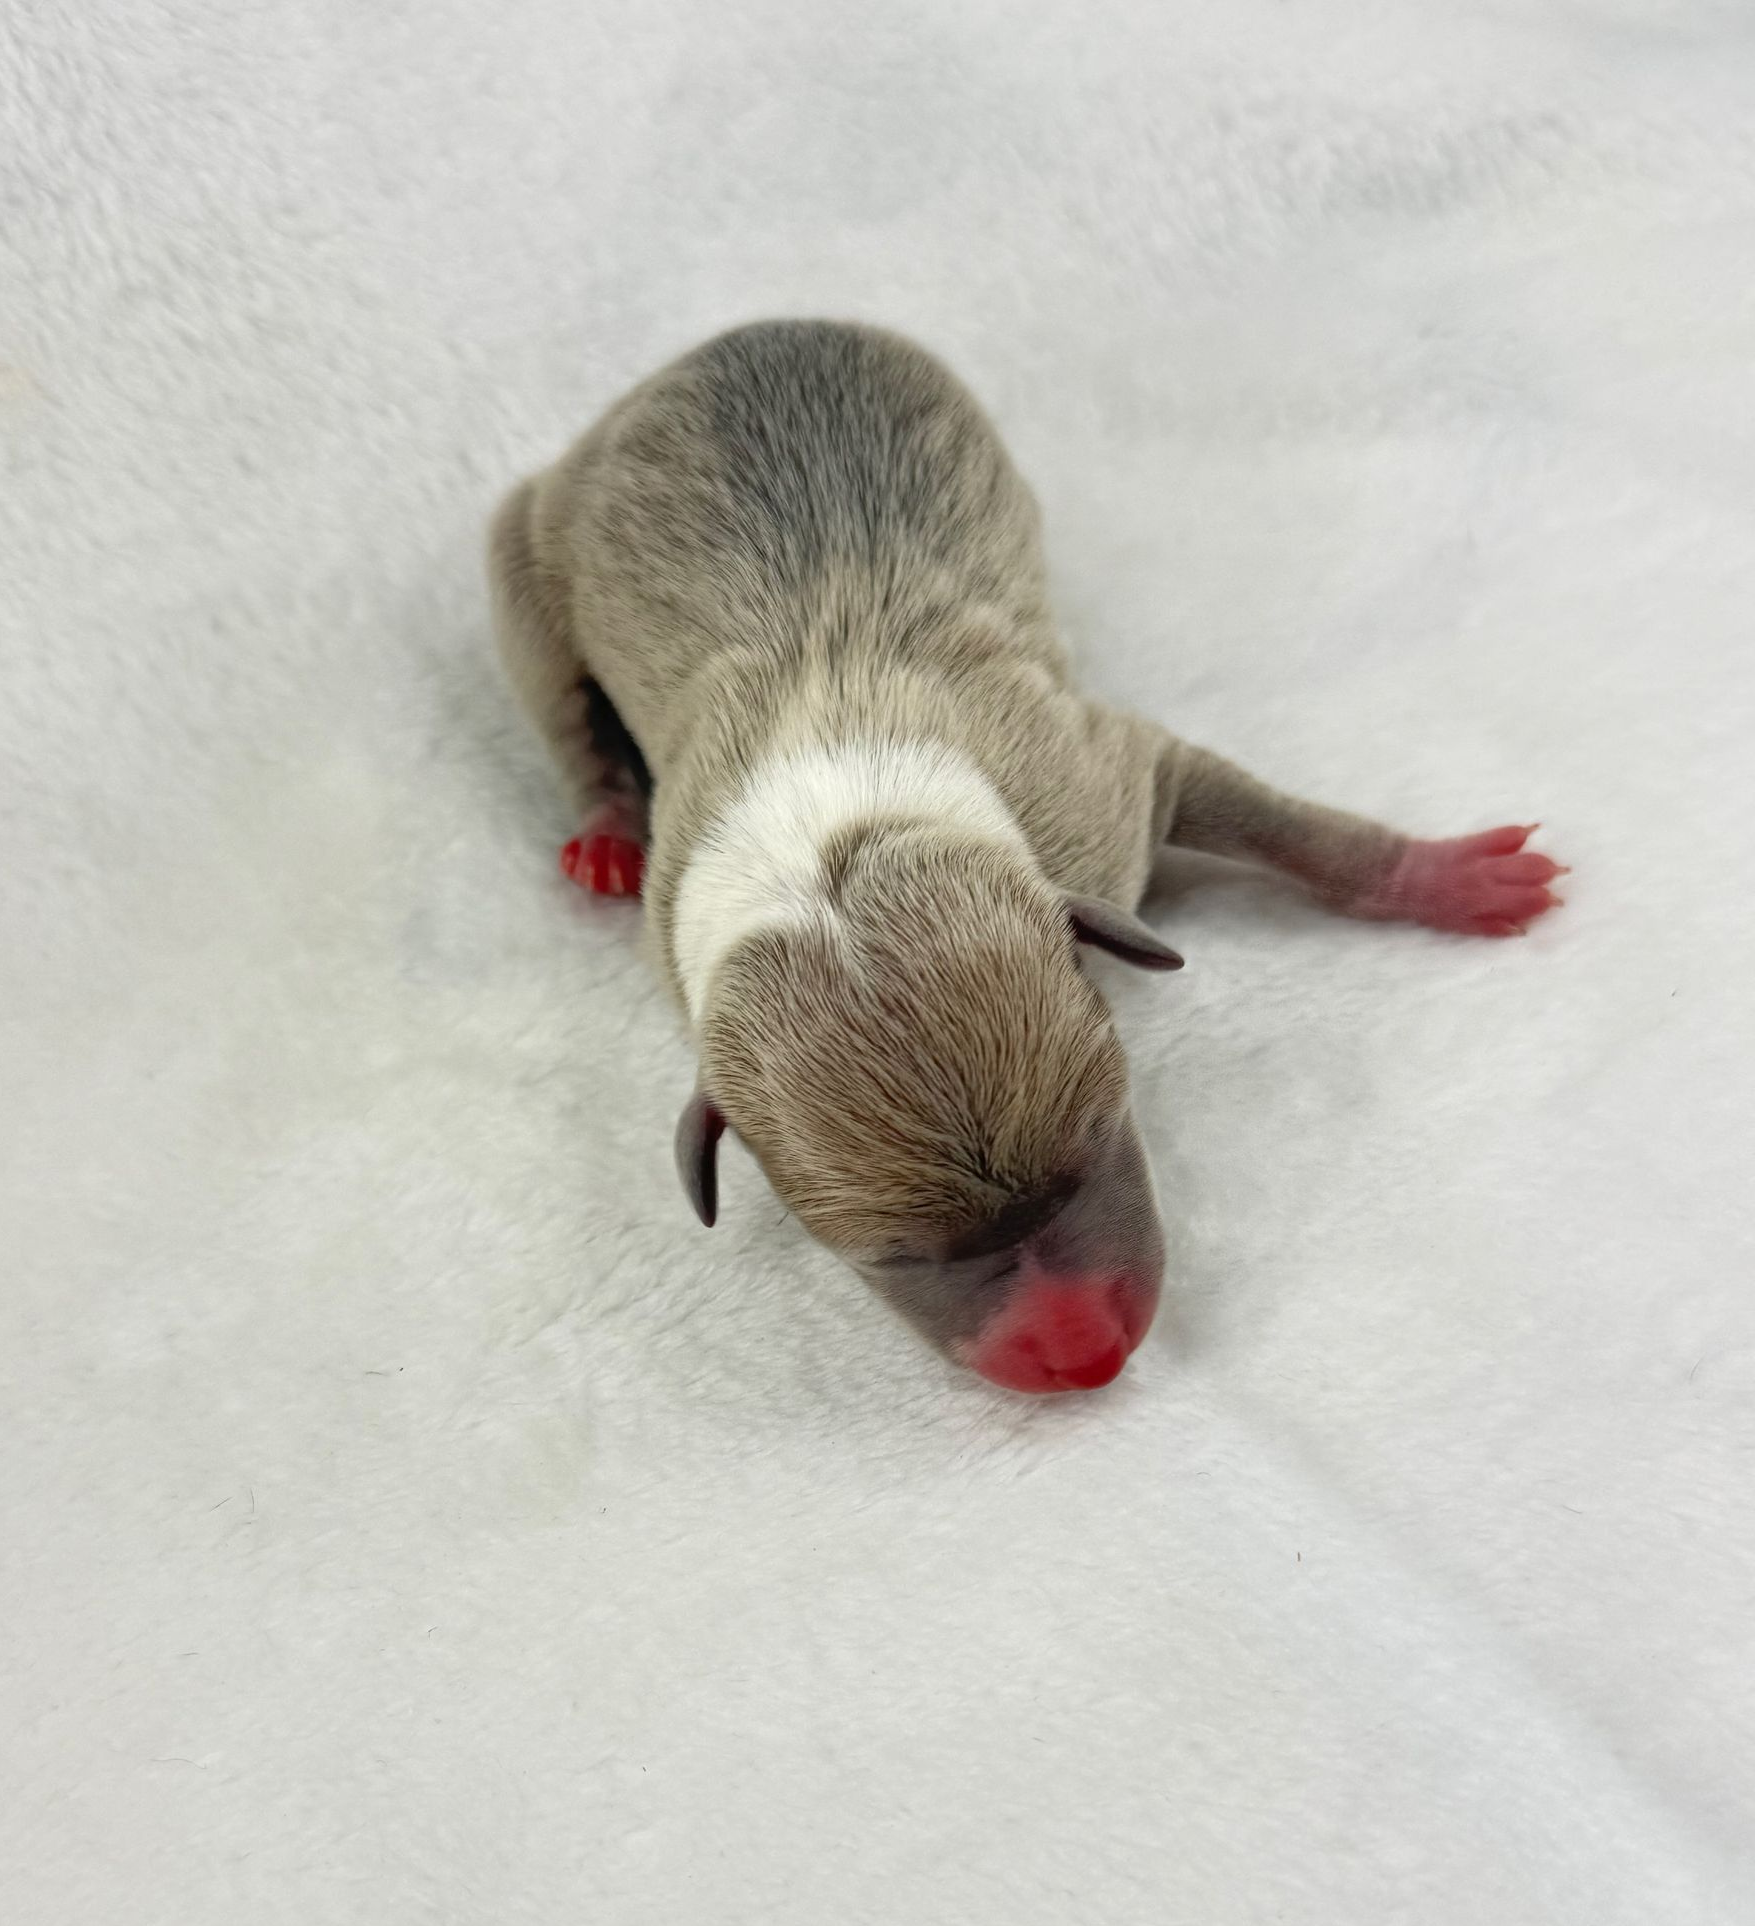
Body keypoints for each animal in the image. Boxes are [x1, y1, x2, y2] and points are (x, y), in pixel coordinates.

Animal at [489, 320, 1563, 1393]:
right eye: (891, 1257)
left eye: (1098, 1136)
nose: (1085, 1357)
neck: (830, 851)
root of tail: (743, 333)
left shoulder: (1101, 779)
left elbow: (1289, 827)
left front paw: (1445, 875)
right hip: (526, 558)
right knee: (564, 717)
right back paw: (604, 836)